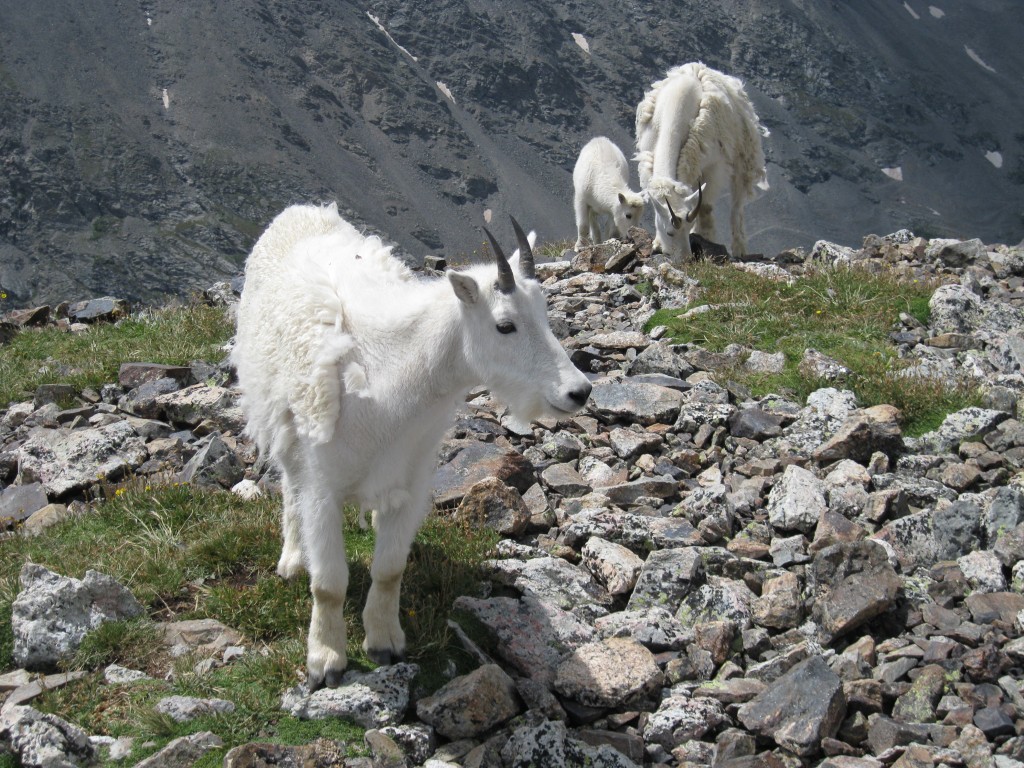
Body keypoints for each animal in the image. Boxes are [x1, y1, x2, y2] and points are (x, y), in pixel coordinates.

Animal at [232, 203, 592, 690]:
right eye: (505, 326)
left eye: (545, 313)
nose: (579, 392)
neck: (391, 380)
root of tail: (297, 212)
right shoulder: (324, 486)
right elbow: (328, 583)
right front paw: (325, 660)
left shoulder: (410, 481)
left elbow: (389, 570)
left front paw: (384, 643)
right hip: (286, 421)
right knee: (289, 484)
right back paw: (291, 560)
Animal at [635, 62, 767, 262]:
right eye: (669, 232)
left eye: (686, 228)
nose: (686, 259)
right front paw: (657, 243)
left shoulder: (714, 166)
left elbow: (706, 206)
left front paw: (706, 238)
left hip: (742, 156)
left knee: (737, 203)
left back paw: (739, 248)